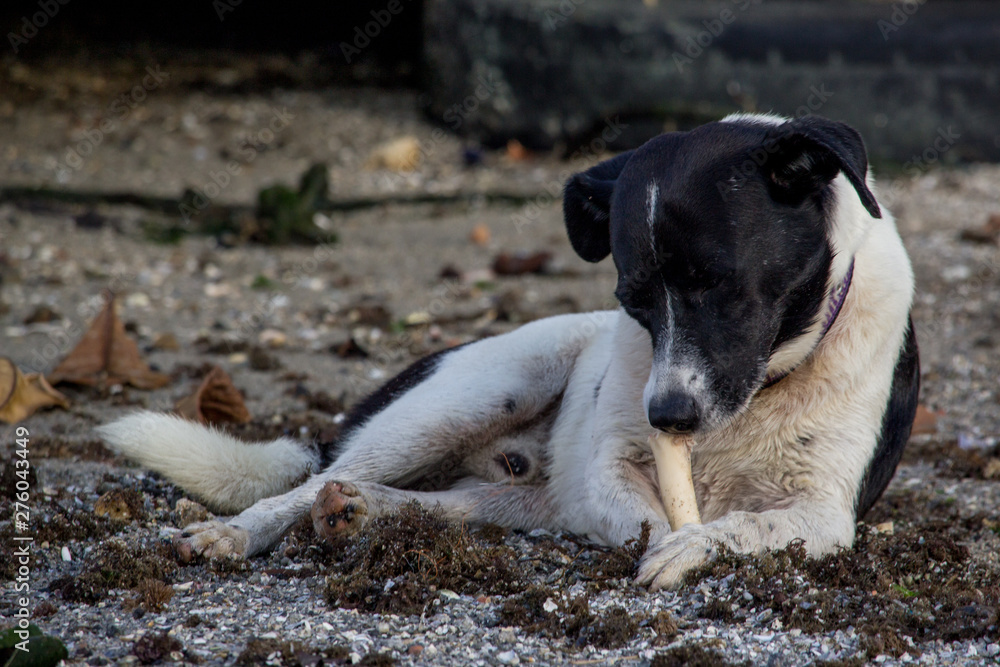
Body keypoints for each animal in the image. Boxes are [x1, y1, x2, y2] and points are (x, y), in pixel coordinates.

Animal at [97, 113, 916, 588]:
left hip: (515, 488)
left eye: (720, 286)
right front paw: (668, 542)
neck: (766, 385)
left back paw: (364, 512)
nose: (669, 415)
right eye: (633, 300)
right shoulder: (611, 467)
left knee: (443, 504)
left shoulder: (822, 513)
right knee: (308, 484)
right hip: (486, 387)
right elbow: (645, 515)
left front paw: (691, 547)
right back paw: (243, 530)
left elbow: (742, 525)